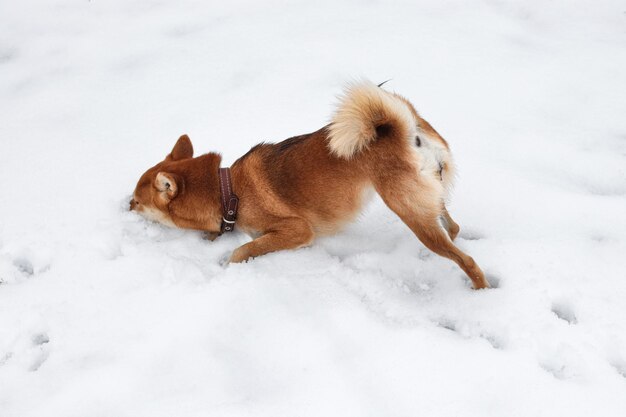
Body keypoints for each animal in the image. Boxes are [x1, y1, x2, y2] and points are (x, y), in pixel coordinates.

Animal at [129, 81, 490, 290]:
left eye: (137, 200)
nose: (125, 206)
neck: (227, 191)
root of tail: (404, 130)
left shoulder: (296, 230)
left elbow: (244, 248)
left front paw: (227, 260)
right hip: (427, 201)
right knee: (453, 228)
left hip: (408, 210)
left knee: (466, 260)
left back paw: (480, 289)